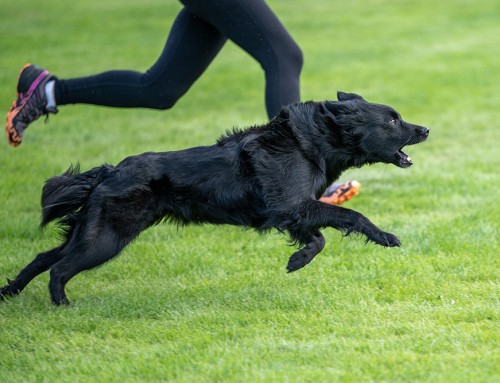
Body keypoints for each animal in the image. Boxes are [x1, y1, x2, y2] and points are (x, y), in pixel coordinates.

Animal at [0, 93, 430, 306]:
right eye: (392, 120)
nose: (425, 129)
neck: (310, 142)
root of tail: (109, 171)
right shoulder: (293, 207)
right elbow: (350, 217)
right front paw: (386, 237)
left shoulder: (292, 213)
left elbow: (318, 237)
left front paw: (297, 259)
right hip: (105, 239)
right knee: (58, 269)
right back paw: (62, 306)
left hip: (90, 232)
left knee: (42, 258)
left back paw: (11, 292)